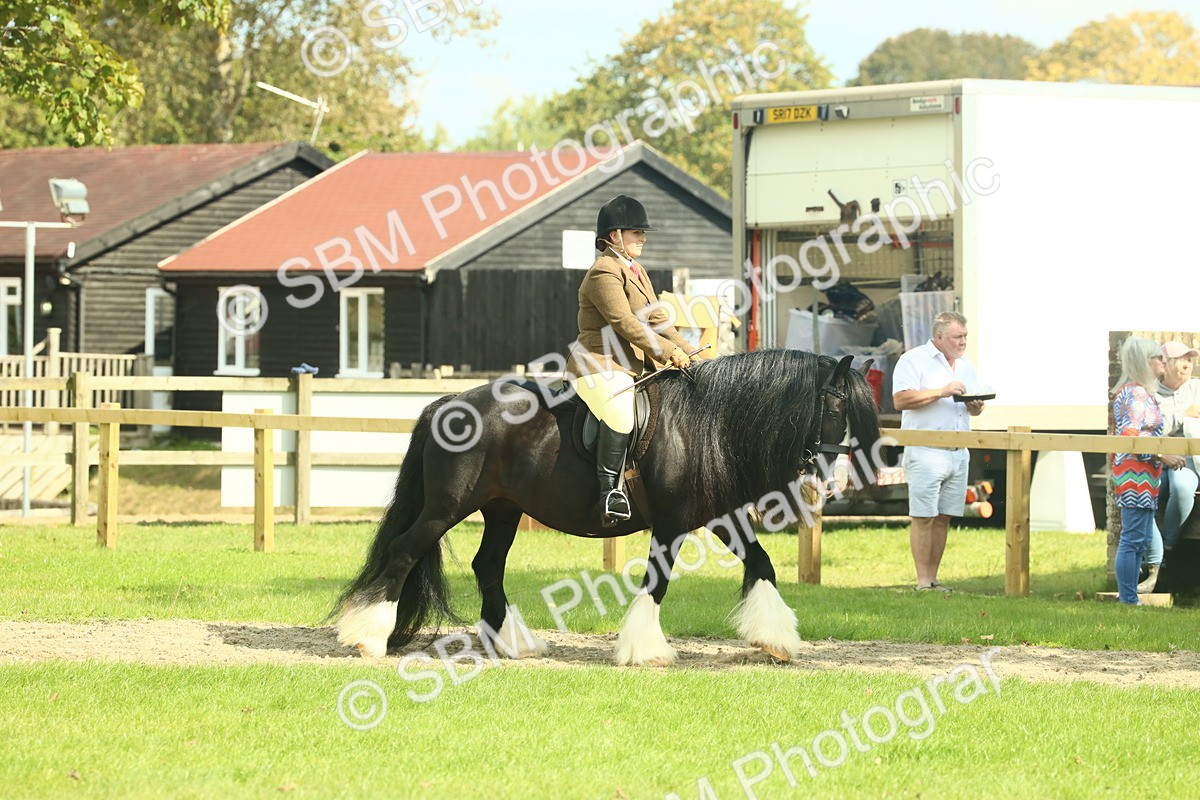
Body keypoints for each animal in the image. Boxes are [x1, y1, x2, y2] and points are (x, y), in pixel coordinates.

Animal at [334, 349, 882, 665]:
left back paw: (511, 643)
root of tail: (444, 403)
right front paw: (645, 650)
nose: (832, 480)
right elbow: (657, 582)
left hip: (502, 509)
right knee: (404, 552)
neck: (707, 422)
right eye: (837, 406)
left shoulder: (716, 518)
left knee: (487, 564)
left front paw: (776, 640)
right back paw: (369, 637)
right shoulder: (672, 524)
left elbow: (762, 565)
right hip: (447, 506)